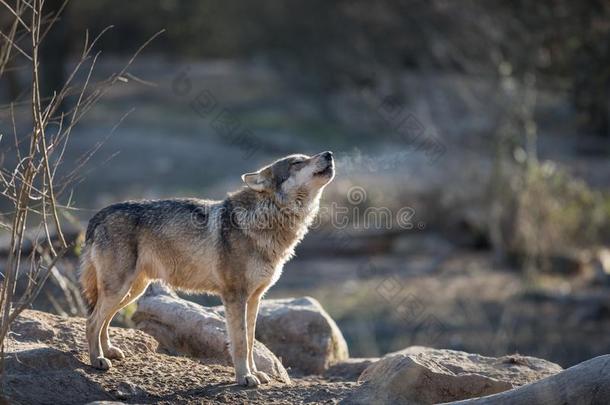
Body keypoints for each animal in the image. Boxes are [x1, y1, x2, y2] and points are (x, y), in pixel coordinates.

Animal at [79, 151, 334, 386]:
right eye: (297, 162)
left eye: (305, 157)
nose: (329, 154)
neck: (265, 218)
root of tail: (98, 216)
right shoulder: (235, 297)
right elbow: (241, 342)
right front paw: (244, 377)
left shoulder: (254, 298)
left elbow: (251, 340)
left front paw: (256, 373)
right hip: (120, 289)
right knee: (91, 322)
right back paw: (97, 360)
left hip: (132, 291)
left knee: (103, 320)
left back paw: (108, 352)